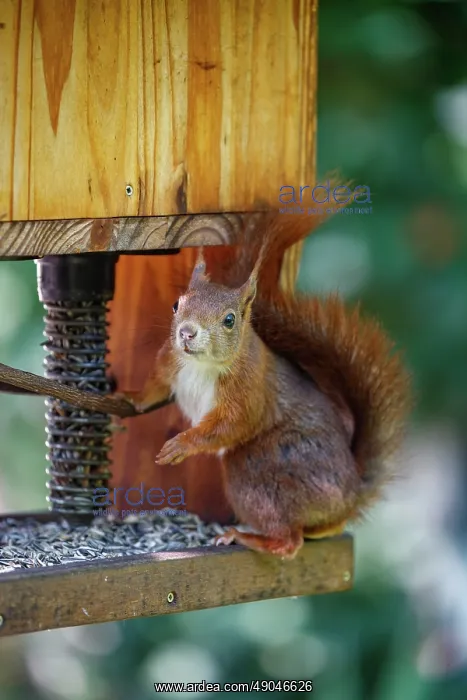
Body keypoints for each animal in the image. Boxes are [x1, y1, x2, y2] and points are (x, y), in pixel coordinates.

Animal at [117, 204, 411, 559]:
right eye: (177, 304)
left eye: (229, 320)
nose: (186, 333)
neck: (201, 364)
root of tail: (350, 496)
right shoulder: (169, 362)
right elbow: (154, 389)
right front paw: (130, 397)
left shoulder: (248, 390)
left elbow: (231, 424)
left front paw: (182, 444)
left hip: (260, 469)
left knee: (289, 542)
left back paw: (246, 537)